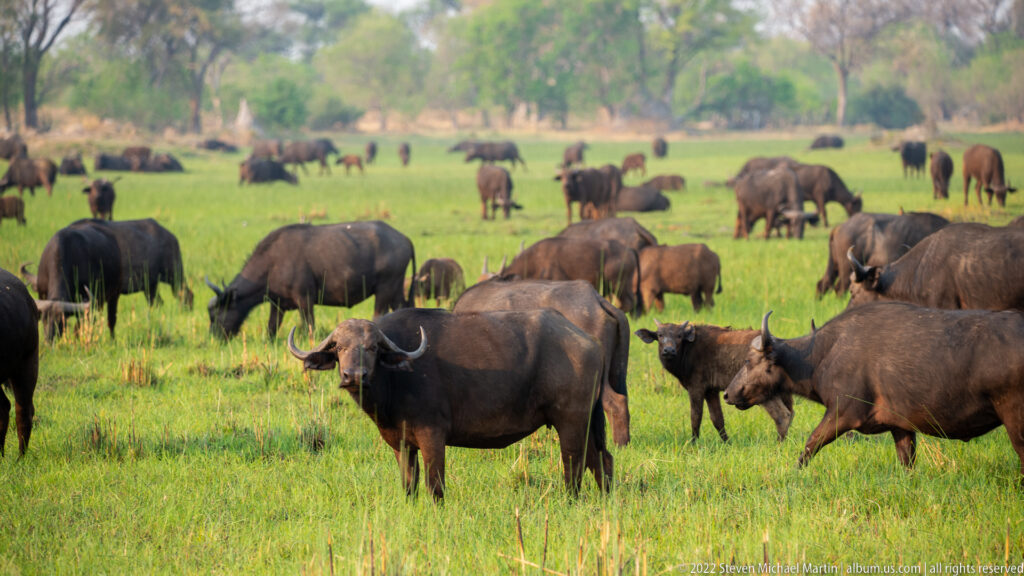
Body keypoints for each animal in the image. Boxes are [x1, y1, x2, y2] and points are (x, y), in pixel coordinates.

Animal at [207, 221, 415, 340]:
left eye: (216, 314)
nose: (214, 338)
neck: (272, 263)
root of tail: (404, 239)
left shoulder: (305, 300)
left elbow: (310, 326)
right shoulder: (277, 304)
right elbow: (271, 328)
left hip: (385, 289)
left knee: (379, 315)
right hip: (396, 290)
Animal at [287, 308, 612, 499]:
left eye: (371, 348)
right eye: (340, 347)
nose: (353, 375)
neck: (395, 378)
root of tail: (590, 342)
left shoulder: (433, 436)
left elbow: (435, 485)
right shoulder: (401, 444)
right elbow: (409, 484)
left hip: (570, 422)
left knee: (574, 465)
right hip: (585, 424)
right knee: (600, 460)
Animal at [635, 320, 793, 442]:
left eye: (679, 336)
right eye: (660, 335)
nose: (669, 351)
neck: (688, 350)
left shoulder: (696, 388)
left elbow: (696, 416)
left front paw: (693, 443)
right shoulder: (711, 391)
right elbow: (717, 419)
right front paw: (727, 443)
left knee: (783, 416)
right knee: (791, 414)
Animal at [725, 307, 1024, 478]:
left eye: (749, 361)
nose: (728, 394)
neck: (823, 354)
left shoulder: (842, 414)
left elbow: (810, 444)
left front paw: (794, 474)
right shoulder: (901, 427)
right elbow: (907, 462)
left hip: (1015, 421)